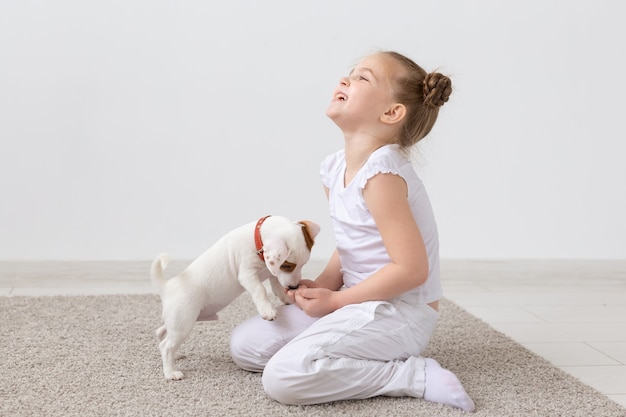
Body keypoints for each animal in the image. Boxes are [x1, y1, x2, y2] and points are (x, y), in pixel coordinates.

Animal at [150, 214, 316, 380]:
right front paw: (267, 310)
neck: (256, 239)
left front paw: (286, 298)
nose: (294, 287)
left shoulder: (271, 271)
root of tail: (166, 287)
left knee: (162, 333)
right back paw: (170, 372)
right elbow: (260, 289)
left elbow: (276, 284)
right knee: (165, 346)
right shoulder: (247, 275)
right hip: (183, 323)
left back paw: (174, 357)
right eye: (288, 266)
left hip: (181, 321)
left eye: (302, 265)